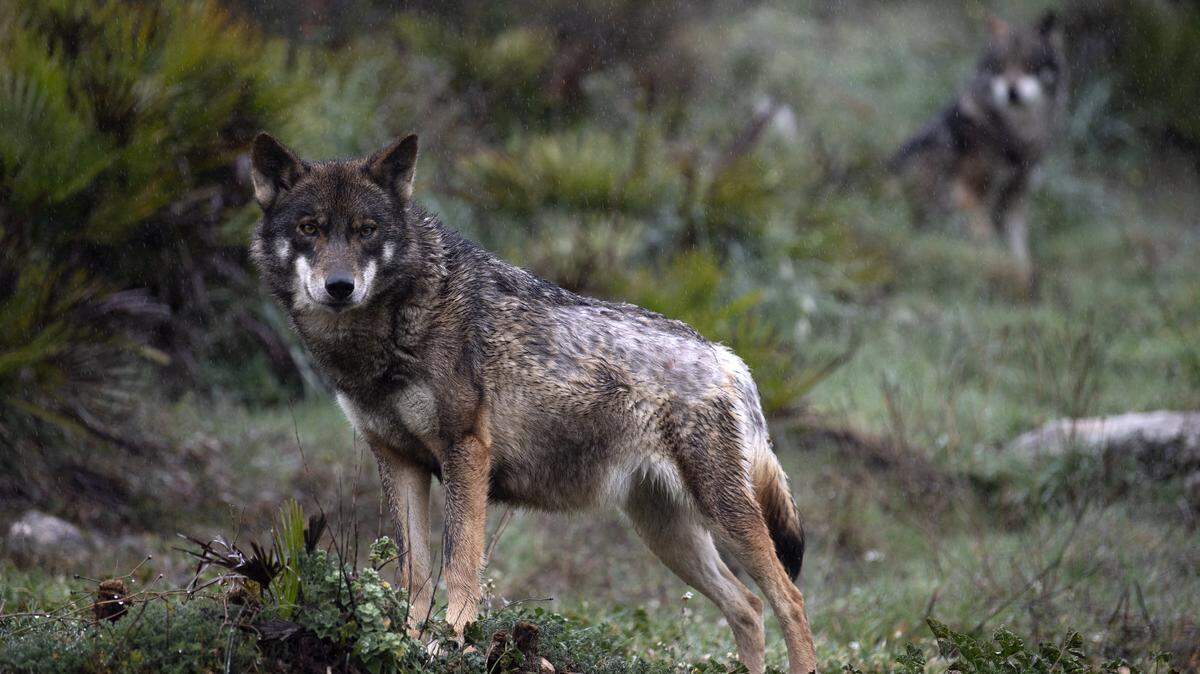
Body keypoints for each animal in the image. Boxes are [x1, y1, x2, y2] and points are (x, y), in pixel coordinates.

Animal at [248, 133, 818, 674]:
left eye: (366, 230)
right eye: (310, 228)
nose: (339, 287)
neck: (388, 333)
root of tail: (726, 356)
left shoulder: (466, 453)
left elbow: (460, 566)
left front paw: (453, 644)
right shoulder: (398, 459)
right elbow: (416, 577)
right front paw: (408, 642)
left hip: (723, 517)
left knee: (789, 601)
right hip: (667, 534)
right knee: (747, 607)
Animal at [889, 11, 1066, 283]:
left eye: (1028, 65)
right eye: (1001, 66)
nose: (1011, 92)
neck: (1015, 135)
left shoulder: (1016, 197)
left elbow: (1019, 248)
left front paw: (1021, 272)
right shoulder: (969, 192)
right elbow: (985, 237)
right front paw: (993, 265)